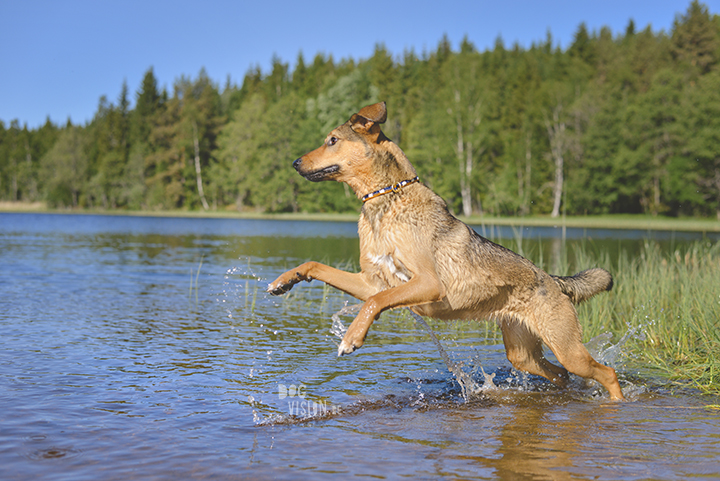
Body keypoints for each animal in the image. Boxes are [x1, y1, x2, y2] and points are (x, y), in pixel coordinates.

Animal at [270, 102, 624, 402]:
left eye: (332, 140)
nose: (295, 163)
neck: (385, 199)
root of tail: (552, 280)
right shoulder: (371, 281)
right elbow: (317, 266)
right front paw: (285, 281)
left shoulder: (426, 284)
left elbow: (376, 302)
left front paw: (351, 338)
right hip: (523, 354)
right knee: (561, 375)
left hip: (566, 346)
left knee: (606, 372)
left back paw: (617, 401)